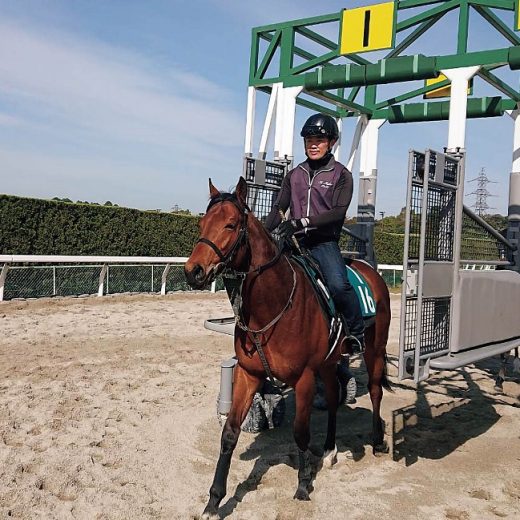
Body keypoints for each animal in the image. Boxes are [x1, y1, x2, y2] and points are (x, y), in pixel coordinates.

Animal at [185, 177, 392, 516]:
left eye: (230, 224)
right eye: (202, 223)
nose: (193, 271)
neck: (272, 306)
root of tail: (370, 272)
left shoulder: (304, 378)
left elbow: (300, 432)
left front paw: (303, 485)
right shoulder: (248, 373)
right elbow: (229, 432)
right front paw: (214, 500)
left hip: (374, 349)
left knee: (375, 390)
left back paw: (377, 440)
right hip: (329, 362)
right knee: (333, 396)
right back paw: (330, 448)